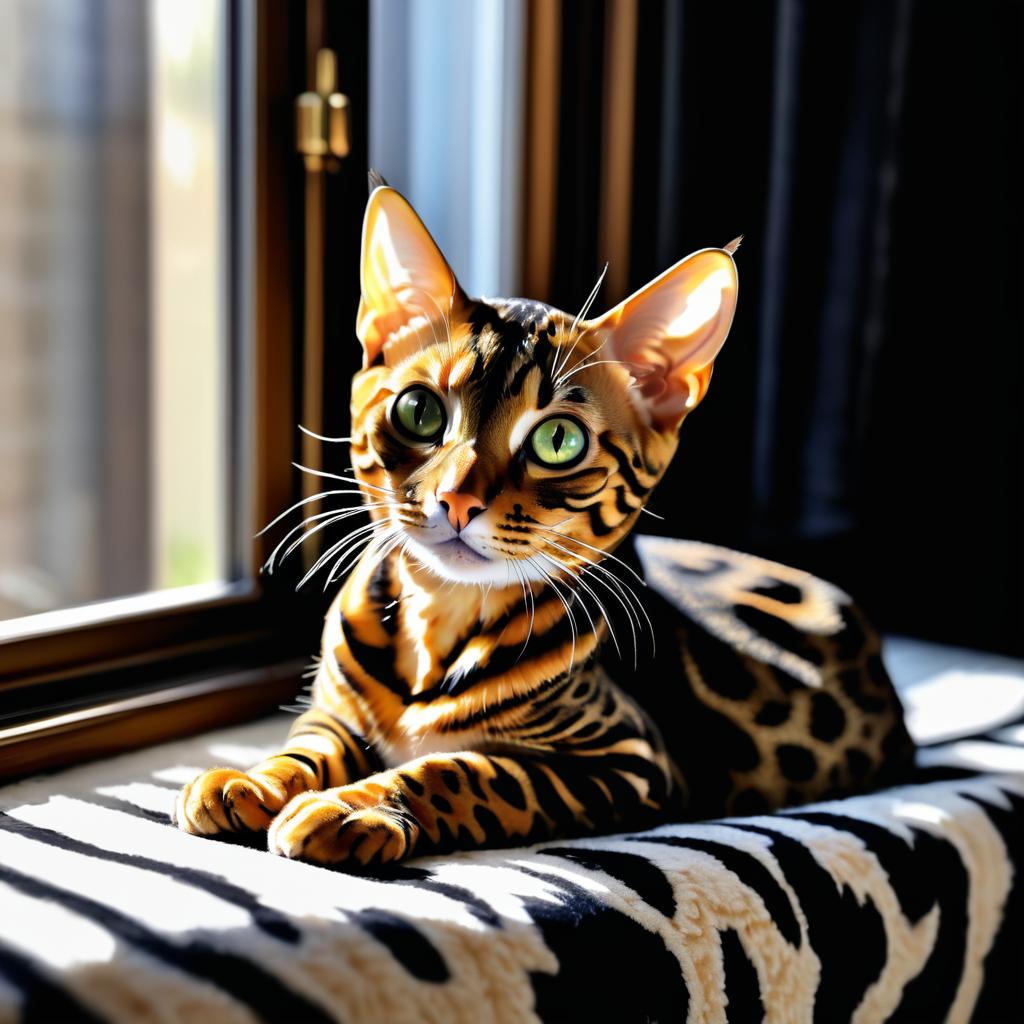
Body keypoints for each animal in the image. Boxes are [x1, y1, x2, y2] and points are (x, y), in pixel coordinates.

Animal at [174, 182, 913, 864]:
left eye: (558, 441)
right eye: (419, 411)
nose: (456, 500)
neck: (437, 617)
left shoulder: (630, 762)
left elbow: (461, 769)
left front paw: (358, 808)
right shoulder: (332, 714)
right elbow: (305, 746)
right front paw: (254, 779)